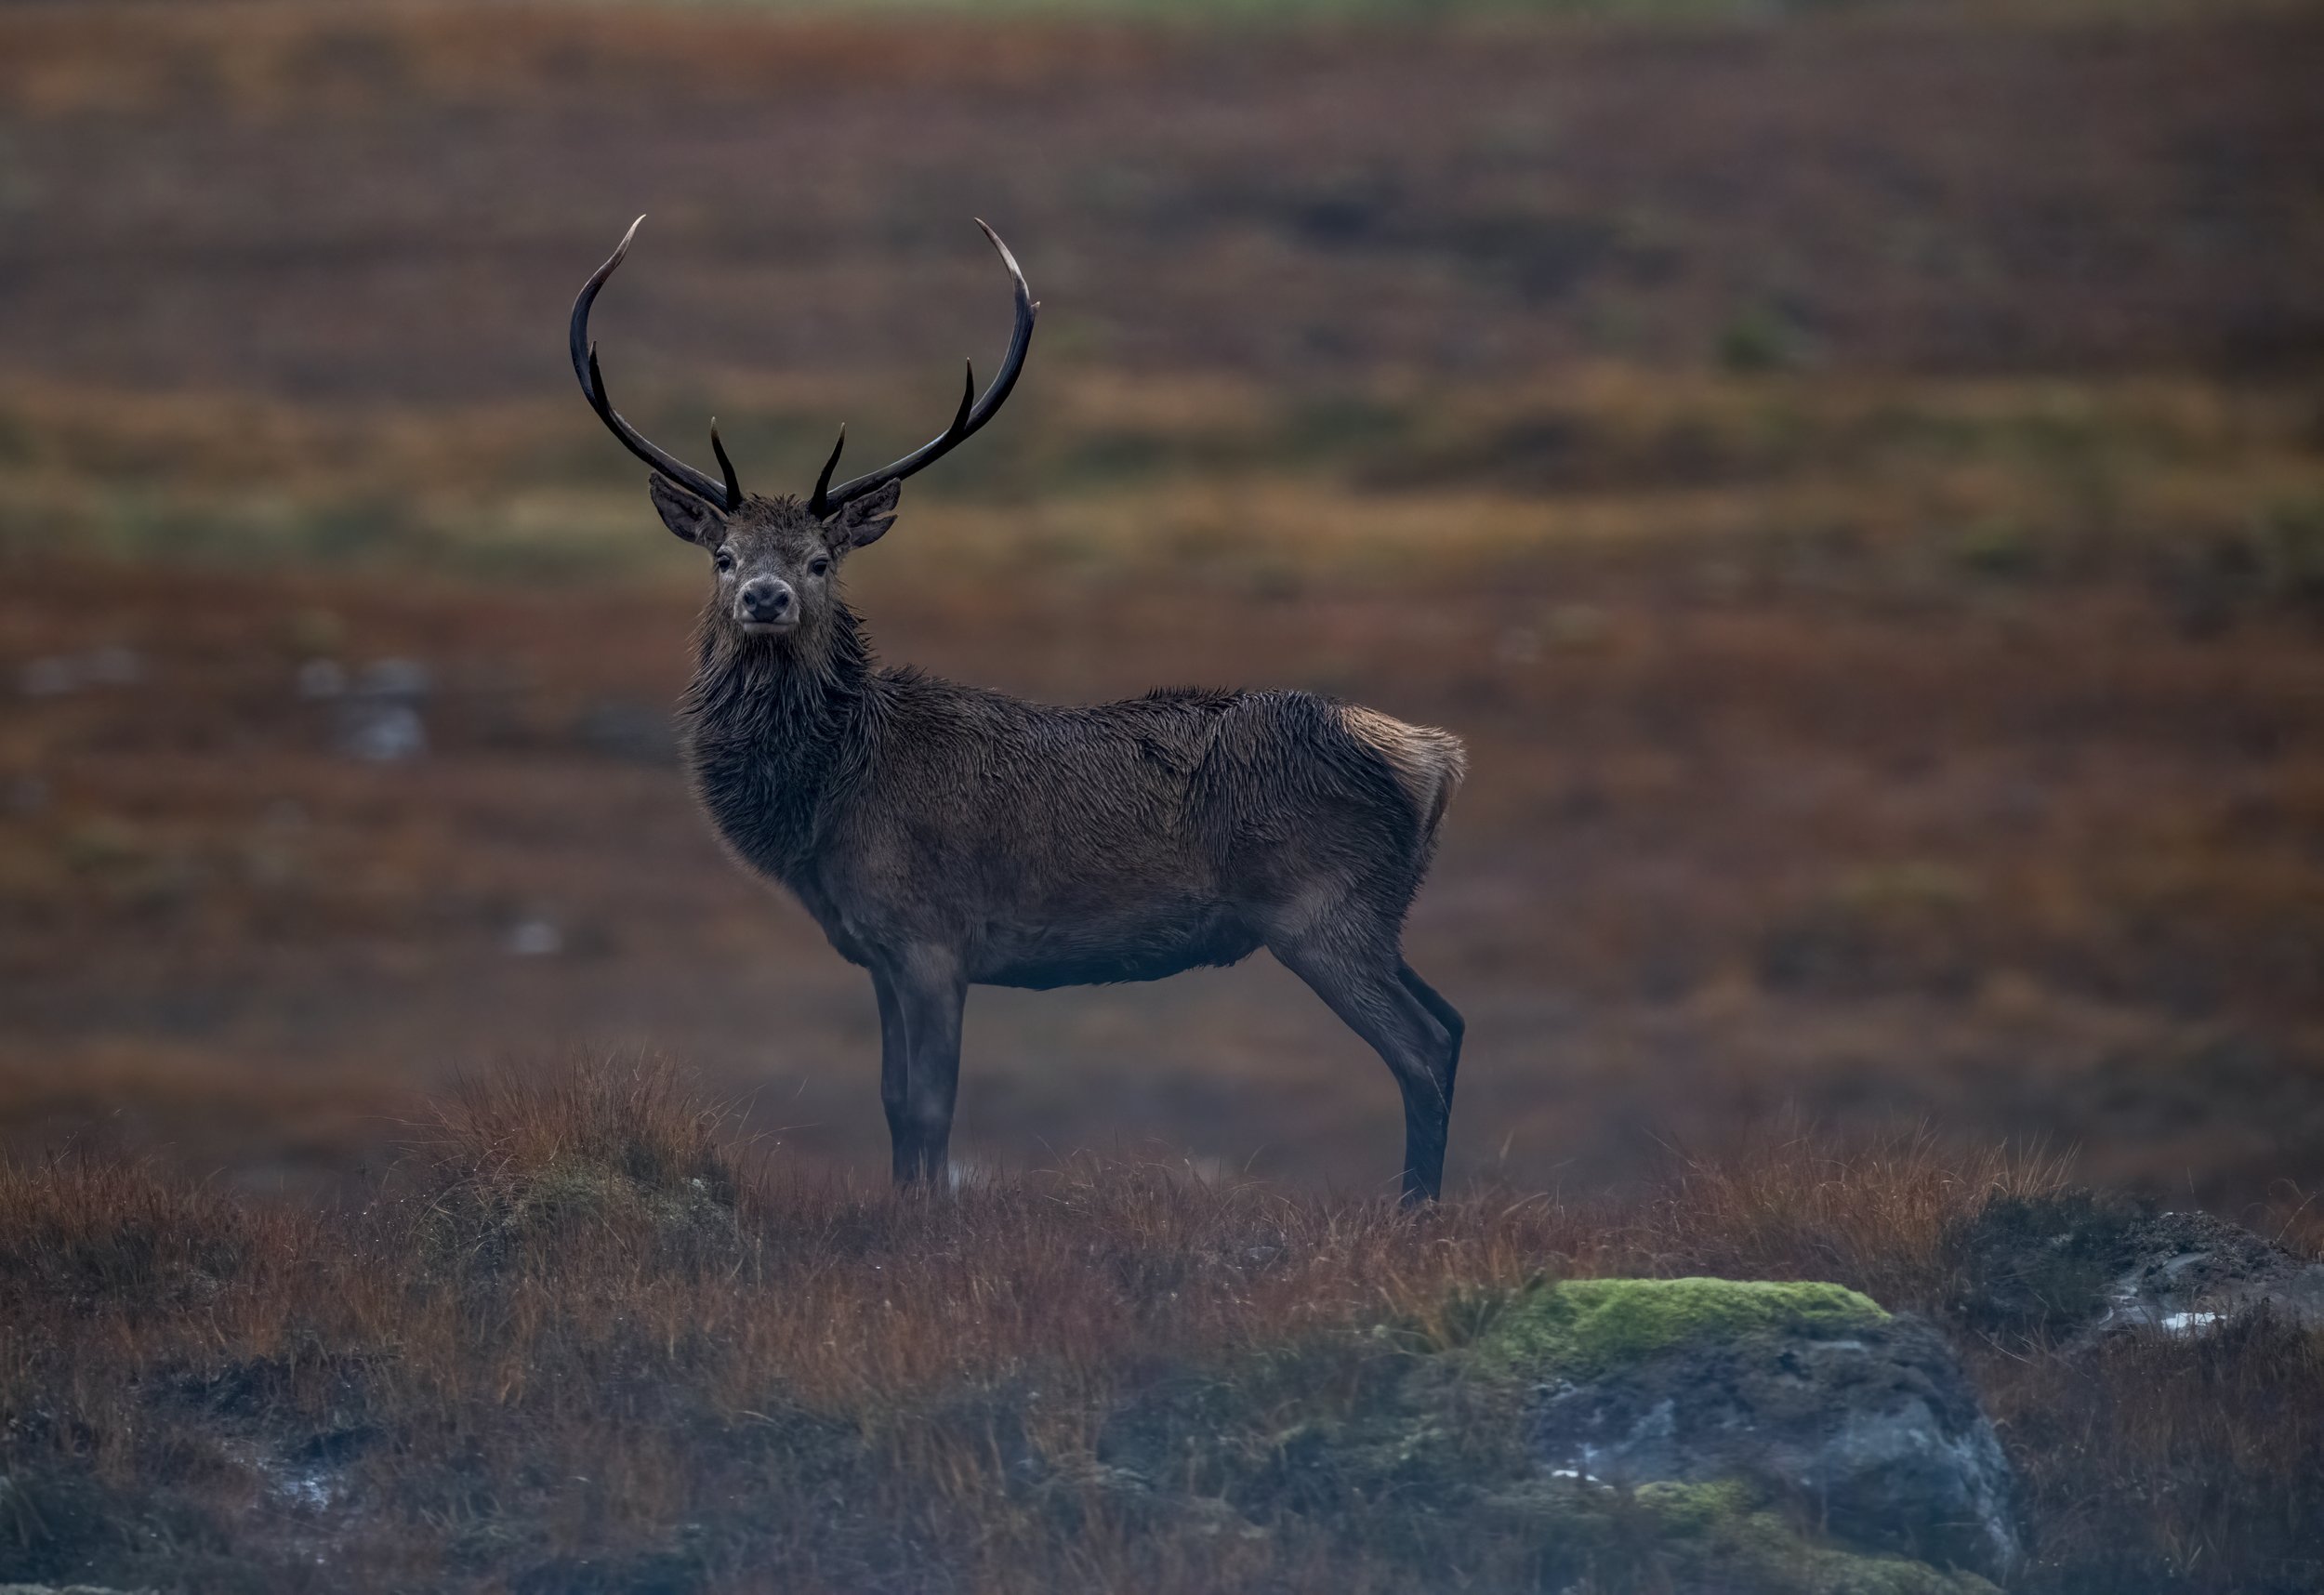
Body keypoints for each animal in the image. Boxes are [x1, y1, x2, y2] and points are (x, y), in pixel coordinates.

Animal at [570, 217, 1468, 1201]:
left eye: (819, 560)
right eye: (723, 555)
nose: (765, 597)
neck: (826, 798)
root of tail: (1434, 758)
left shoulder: (933, 938)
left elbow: (930, 1109)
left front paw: (926, 1219)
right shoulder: (876, 950)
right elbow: (891, 1104)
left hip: (1321, 910)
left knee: (1421, 1049)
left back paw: (1411, 1209)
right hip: (1375, 912)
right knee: (1453, 1023)